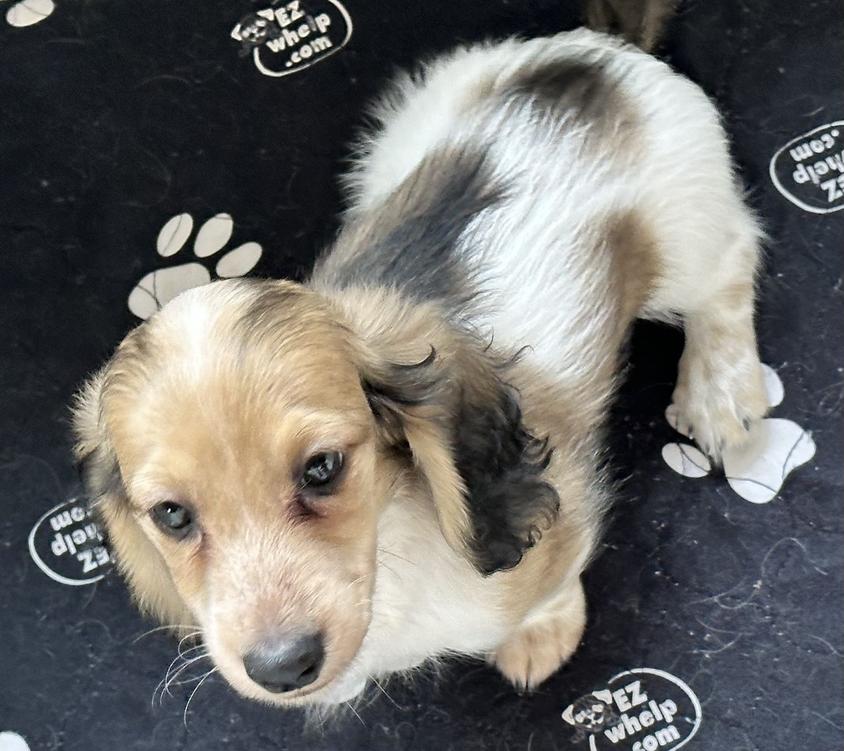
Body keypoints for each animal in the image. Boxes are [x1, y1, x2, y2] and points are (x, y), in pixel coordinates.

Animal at [74, 29, 772, 708]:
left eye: (323, 467)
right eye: (172, 515)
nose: (283, 668)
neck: (393, 547)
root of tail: (591, 58)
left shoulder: (561, 526)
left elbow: (552, 586)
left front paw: (541, 634)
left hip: (686, 237)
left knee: (733, 266)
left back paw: (720, 392)